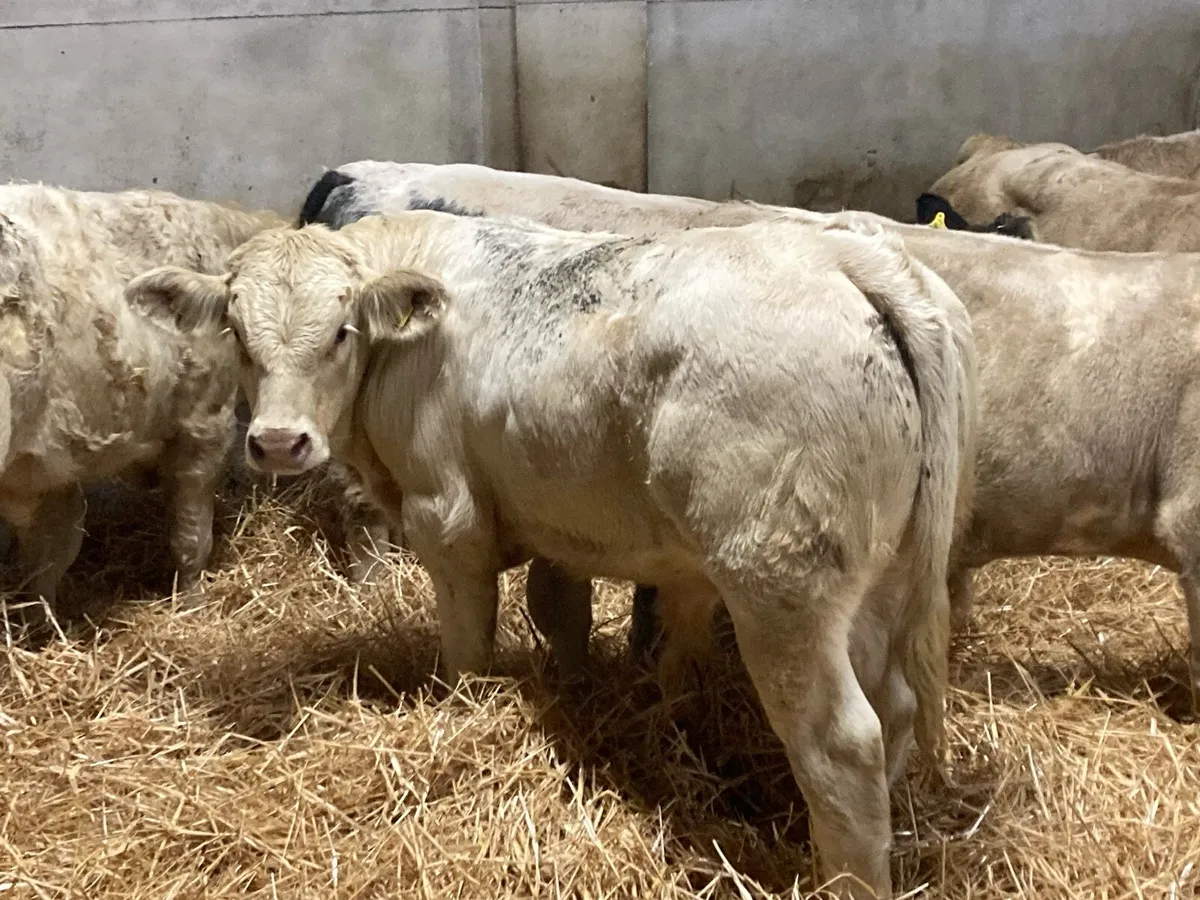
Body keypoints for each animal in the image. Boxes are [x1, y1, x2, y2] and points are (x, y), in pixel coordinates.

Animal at [128, 210, 977, 899]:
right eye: (237, 334)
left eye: (342, 332)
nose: (277, 442)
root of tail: (844, 257)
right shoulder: (559, 521)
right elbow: (559, 612)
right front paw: (577, 694)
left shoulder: (449, 518)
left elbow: (469, 647)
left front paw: (464, 718)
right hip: (875, 577)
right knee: (896, 706)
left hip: (780, 586)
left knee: (842, 742)